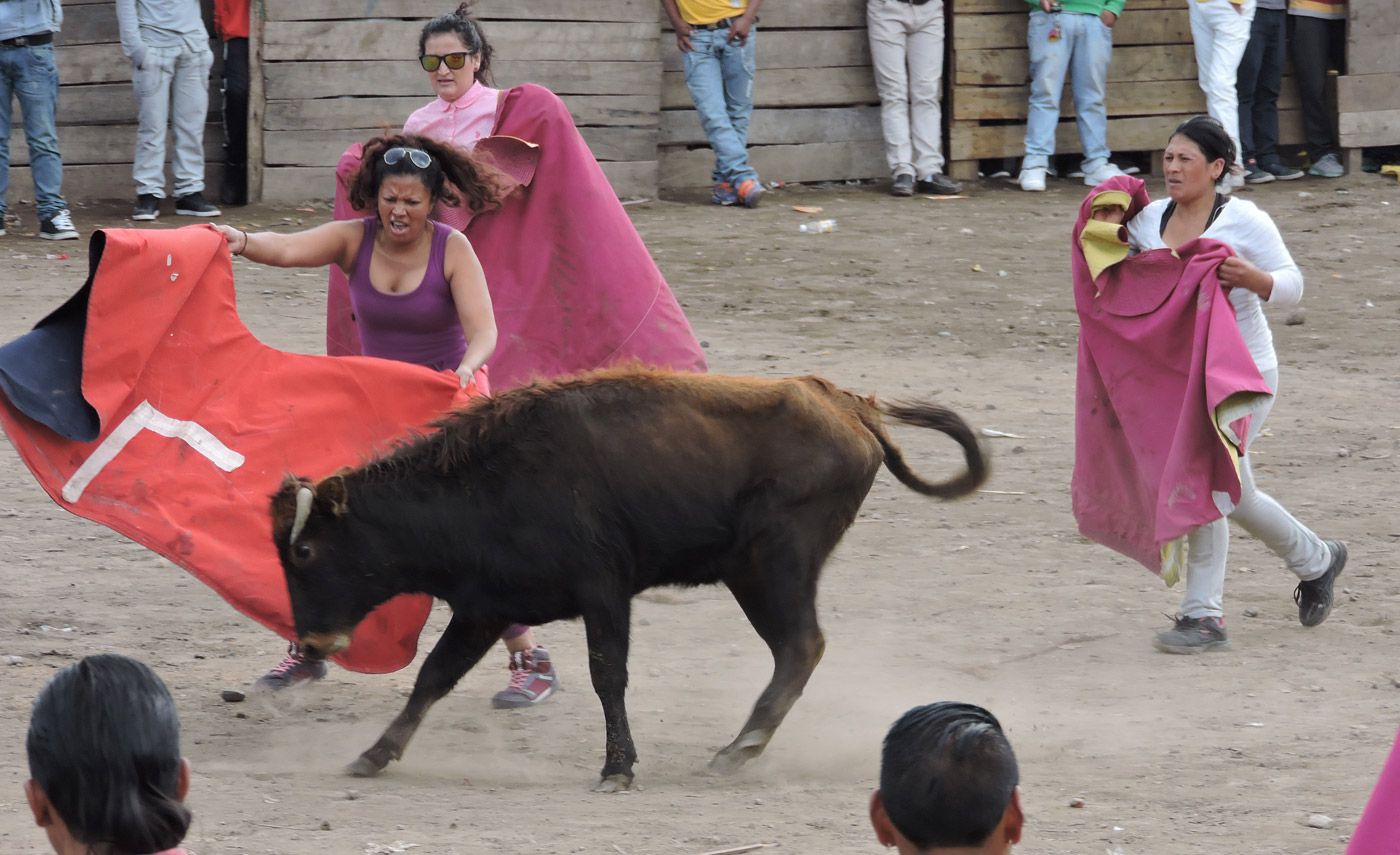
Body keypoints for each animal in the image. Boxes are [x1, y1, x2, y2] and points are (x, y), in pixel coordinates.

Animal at [270, 366, 985, 789]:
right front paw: (375, 754)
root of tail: (848, 403)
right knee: (796, 649)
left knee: (800, 646)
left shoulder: (603, 591)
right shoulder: (485, 605)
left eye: (303, 554)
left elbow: (606, 675)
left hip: (773, 567)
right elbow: (433, 678)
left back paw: (739, 748)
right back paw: (742, 746)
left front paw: (617, 768)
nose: (311, 643)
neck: (487, 483)